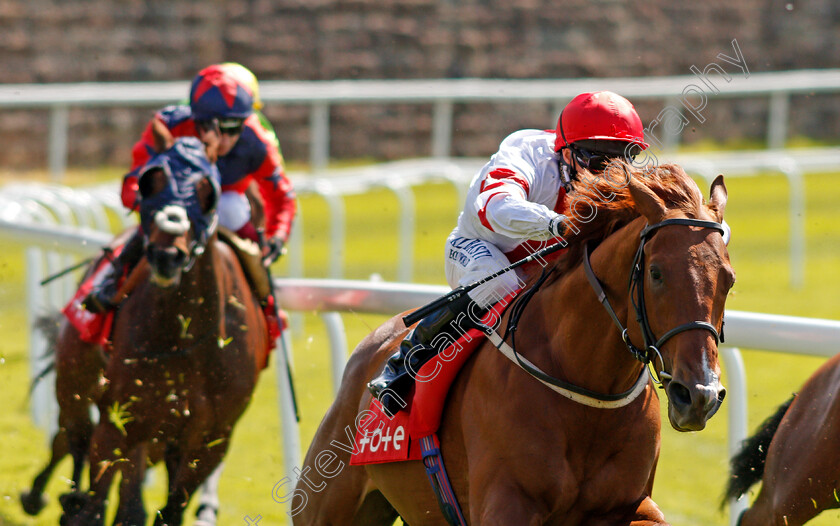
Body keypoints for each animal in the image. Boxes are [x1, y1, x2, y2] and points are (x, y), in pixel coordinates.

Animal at [58, 134, 268, 524]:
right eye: (149, 184)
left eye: (207, 191)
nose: (167, 255)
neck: (184, 339)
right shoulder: (122, 421)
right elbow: (104, 501)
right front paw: (82, 505)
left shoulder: (211, 440)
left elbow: (168, 509)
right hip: (76, 384)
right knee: (75, 439)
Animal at [290, 163, 736, 524]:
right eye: (656, 273)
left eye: (728, 279)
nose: (698, 394)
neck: (586, 389)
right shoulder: (508, 504)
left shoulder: (630, 505)